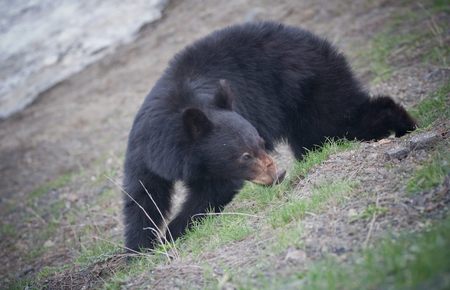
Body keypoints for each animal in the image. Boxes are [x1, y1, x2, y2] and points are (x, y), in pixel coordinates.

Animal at [122, 22, 414, 251]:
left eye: (261, 143)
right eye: (245, 155)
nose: (279, 174)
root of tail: (313, 39)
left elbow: (211, 192)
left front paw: (171, 235)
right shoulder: (143, 153)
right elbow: (142, 197)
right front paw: (139, 249)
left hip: (312, 86)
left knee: (341, 118)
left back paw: (403, 125)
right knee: (318, 136)